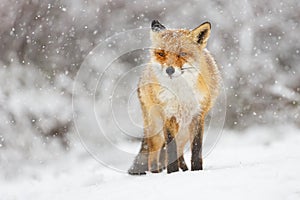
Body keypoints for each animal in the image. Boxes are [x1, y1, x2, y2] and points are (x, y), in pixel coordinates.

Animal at [129, 19, 220, 174]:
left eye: (182, 54)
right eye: (161, 54)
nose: (169, 70)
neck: (181, 93)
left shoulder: (197, 116)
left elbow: (196, 149)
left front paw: (196, 171)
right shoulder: (168, 115)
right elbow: (170, 149)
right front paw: (172, 173)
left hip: (183, 131)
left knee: (179, 152)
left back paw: (184, 169)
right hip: (156, 129)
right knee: (153, 156)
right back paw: (156, 173)